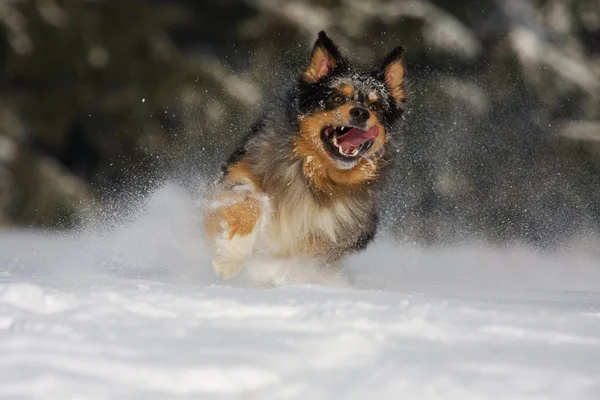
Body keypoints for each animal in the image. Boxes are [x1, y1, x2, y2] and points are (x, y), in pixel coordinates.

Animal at [203, 31, 408, 280]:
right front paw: (231, 256)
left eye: (376, 107)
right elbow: (249, 202)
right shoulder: (237, 176)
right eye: (337, 98)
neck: (315, 174)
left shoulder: (345, 231)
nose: (361, 113)